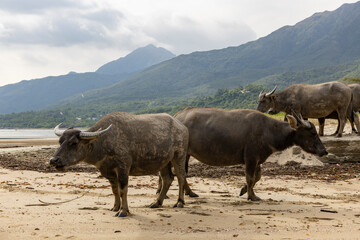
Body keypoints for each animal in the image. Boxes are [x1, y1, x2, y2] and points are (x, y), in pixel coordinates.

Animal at [49, 112, 188, 218]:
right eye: (60, 141)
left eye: (74, 143)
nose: (53, 160)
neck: (103, 142)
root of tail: (182, 127)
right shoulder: (109, 171)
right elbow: (115, 190)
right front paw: (115, 207)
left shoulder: (123, 168)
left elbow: (123, 190)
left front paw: (123, 211)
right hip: (164, 162)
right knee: (167, 179)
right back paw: (157, 202)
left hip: (179, 156)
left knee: (181, 177)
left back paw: (180, 202)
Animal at [173, 107, 328, 201]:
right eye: (313, 133)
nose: (324, 151)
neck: (268, 131)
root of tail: (177, 116)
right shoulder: (251, 158)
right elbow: (250, 178)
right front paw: (251, 196)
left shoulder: (258, 160)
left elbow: (257, 178)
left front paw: (245, 191)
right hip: (183, 153)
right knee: (181, 172)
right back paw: (189, 192)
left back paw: (190, 192)